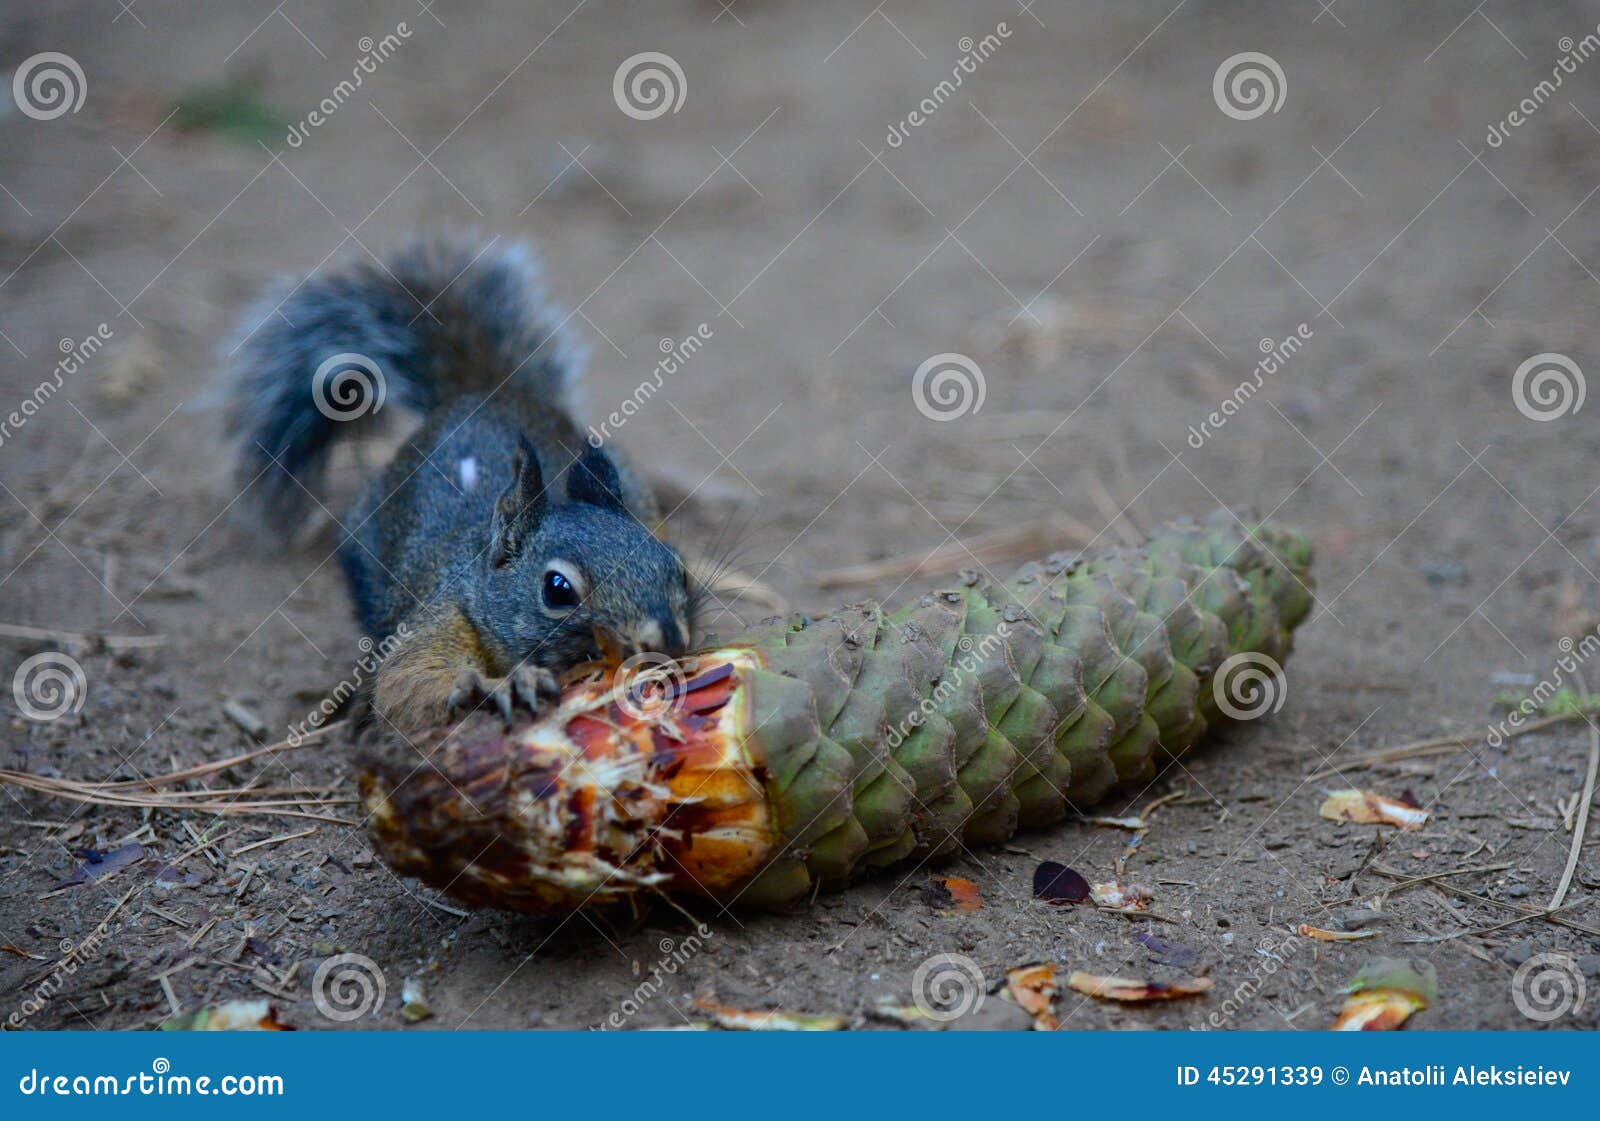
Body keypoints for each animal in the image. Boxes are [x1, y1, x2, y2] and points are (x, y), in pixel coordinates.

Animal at [220, 236, 692, 734]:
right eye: (557, 589)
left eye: (677, 566)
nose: (666, 638)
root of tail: (483, 392)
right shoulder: (440, 617)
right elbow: (408, 681)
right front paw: (502, 686)